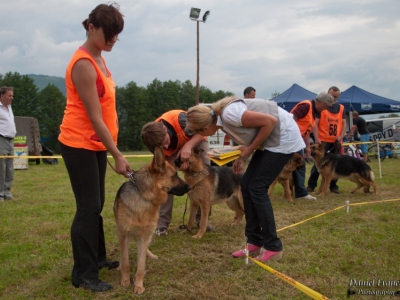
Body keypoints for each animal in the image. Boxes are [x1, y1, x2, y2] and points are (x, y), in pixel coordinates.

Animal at [114, 147, 191, 292]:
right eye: (175, 175)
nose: (190, 187)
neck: (144, 197)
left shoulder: (144, 237)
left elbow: (141, 265)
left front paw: (138, 285)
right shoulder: (123, 235)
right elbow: (126, 261)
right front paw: (125, 280)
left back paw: (150, 255)